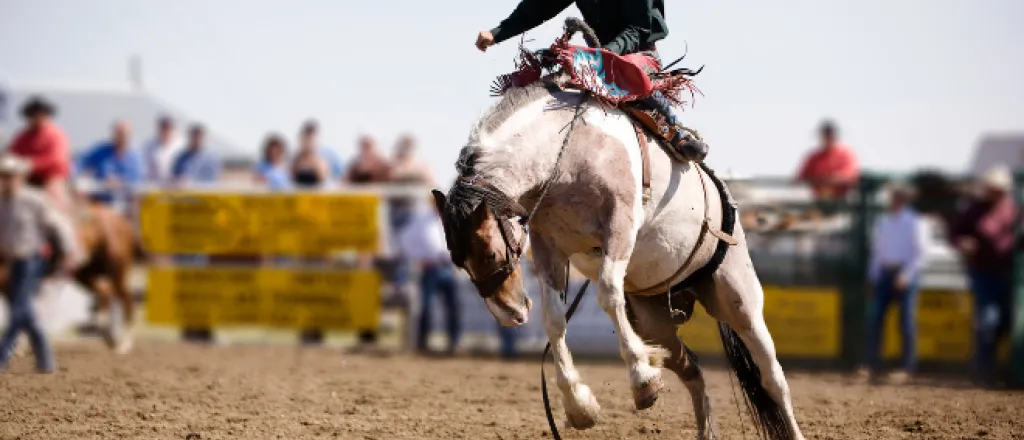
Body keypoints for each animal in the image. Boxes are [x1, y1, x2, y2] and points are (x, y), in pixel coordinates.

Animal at [428, 18, 802, 440]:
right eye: (458, 262)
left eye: (491, 252)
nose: (509, 314)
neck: (566, 151)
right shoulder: (548, 244)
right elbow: (554, 318)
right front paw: (580, 406)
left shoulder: (619, 223)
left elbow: (608, 291)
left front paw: (642, 380)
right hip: (656, 319)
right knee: (692, 367)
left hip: (737, 297)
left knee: (773, 378)